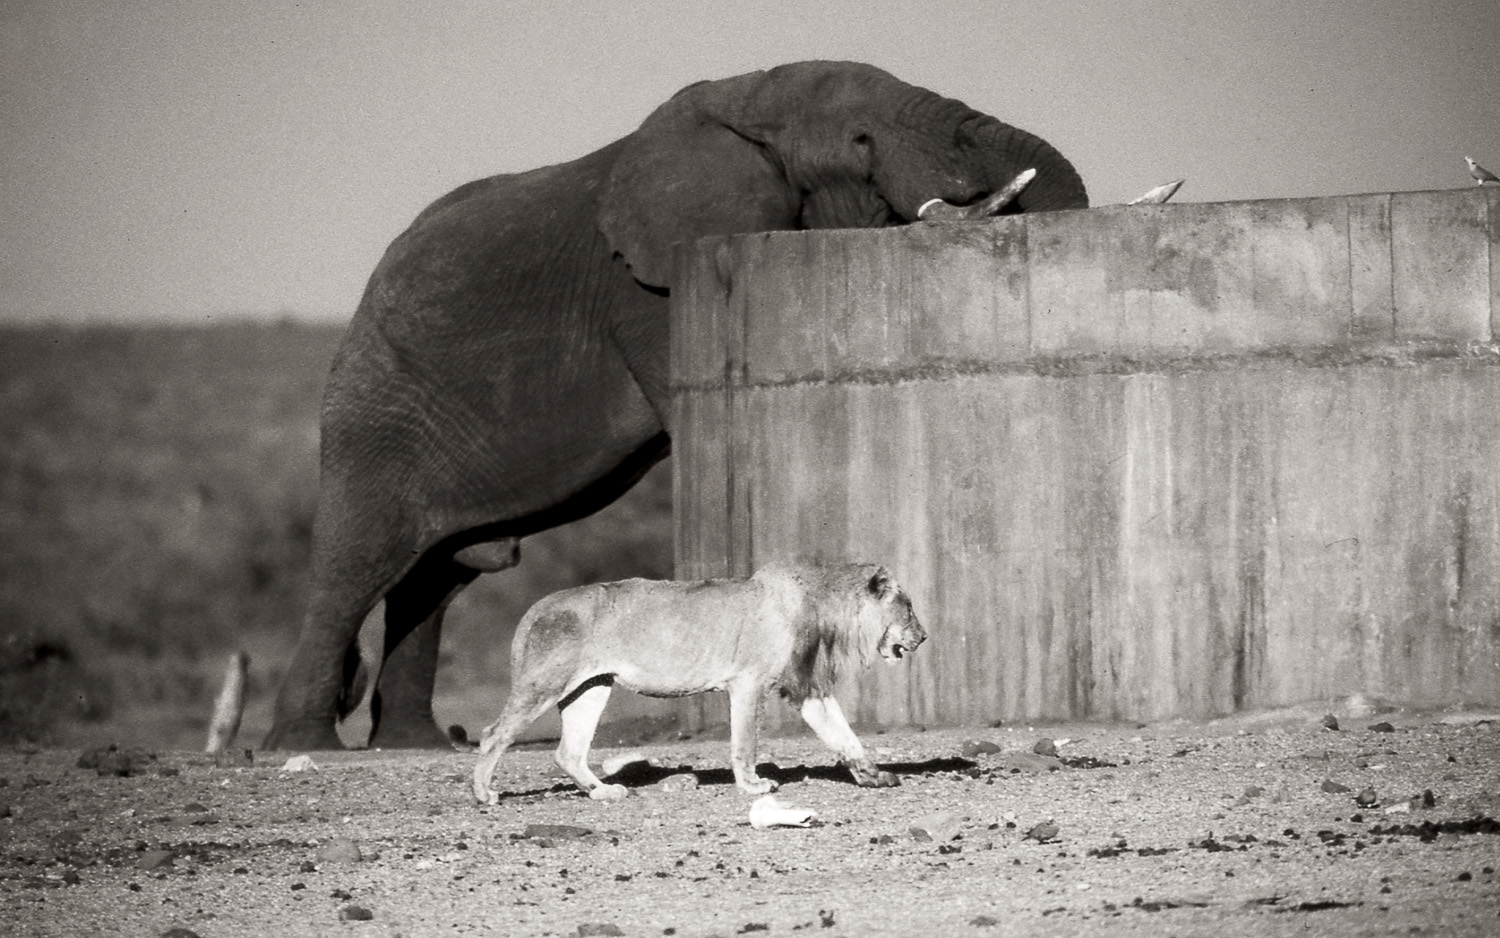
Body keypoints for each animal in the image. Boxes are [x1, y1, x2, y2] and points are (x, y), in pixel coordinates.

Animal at [264, 60, 1088, 750]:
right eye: (859, 141)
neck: (748, 101)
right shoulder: (645, 291)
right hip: (374, 406)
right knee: (358, 563)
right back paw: (306, 748)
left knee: (436, 576)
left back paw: (417, 744)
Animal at [472, 561, 926, 804]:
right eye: (908, 607)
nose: (923, 637)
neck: (823, 609)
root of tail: (537, 606)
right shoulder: (748, 682)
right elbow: (745, 743)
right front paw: (753, 786)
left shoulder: (806, 688)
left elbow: (844, 735)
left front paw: (872, 776)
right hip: (544, 682)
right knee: (494, 734)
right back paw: (483, 794)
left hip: (592, 687)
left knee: (568, 751)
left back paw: (604, 792)